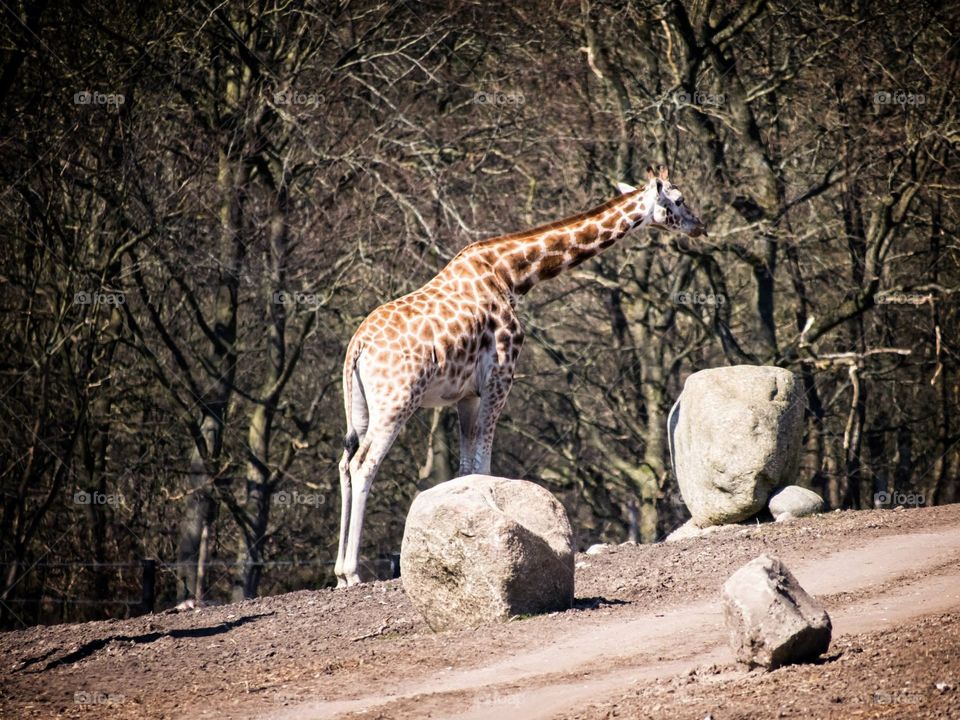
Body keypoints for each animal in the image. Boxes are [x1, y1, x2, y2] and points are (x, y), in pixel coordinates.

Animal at [334, 166, 706, 586]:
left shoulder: (467, 393)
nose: (700, 226)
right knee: (364, 464)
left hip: (361, 407)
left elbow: (467, 469)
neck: (513, 275)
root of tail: (357, 346)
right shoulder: (501, 374)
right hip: (397, 401)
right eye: (678, 199)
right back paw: (352, 572)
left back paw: (339, 574)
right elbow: (483, 463)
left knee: (345, 462)